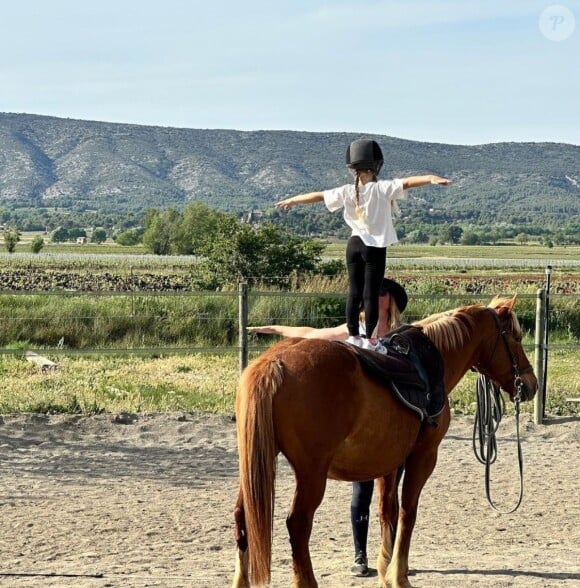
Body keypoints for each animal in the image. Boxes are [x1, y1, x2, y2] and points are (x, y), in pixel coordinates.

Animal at [230, 298, 536, 588]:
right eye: (515, 338)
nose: (530, 384)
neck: (432, 364)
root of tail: (274, 363)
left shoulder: (388, 464)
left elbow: (386, 512)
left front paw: (385, 572)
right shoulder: (423, 457)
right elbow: (407, 513)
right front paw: (399, 576)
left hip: (256, 465)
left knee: (242, 517)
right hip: (311, 474)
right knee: (298, 524)